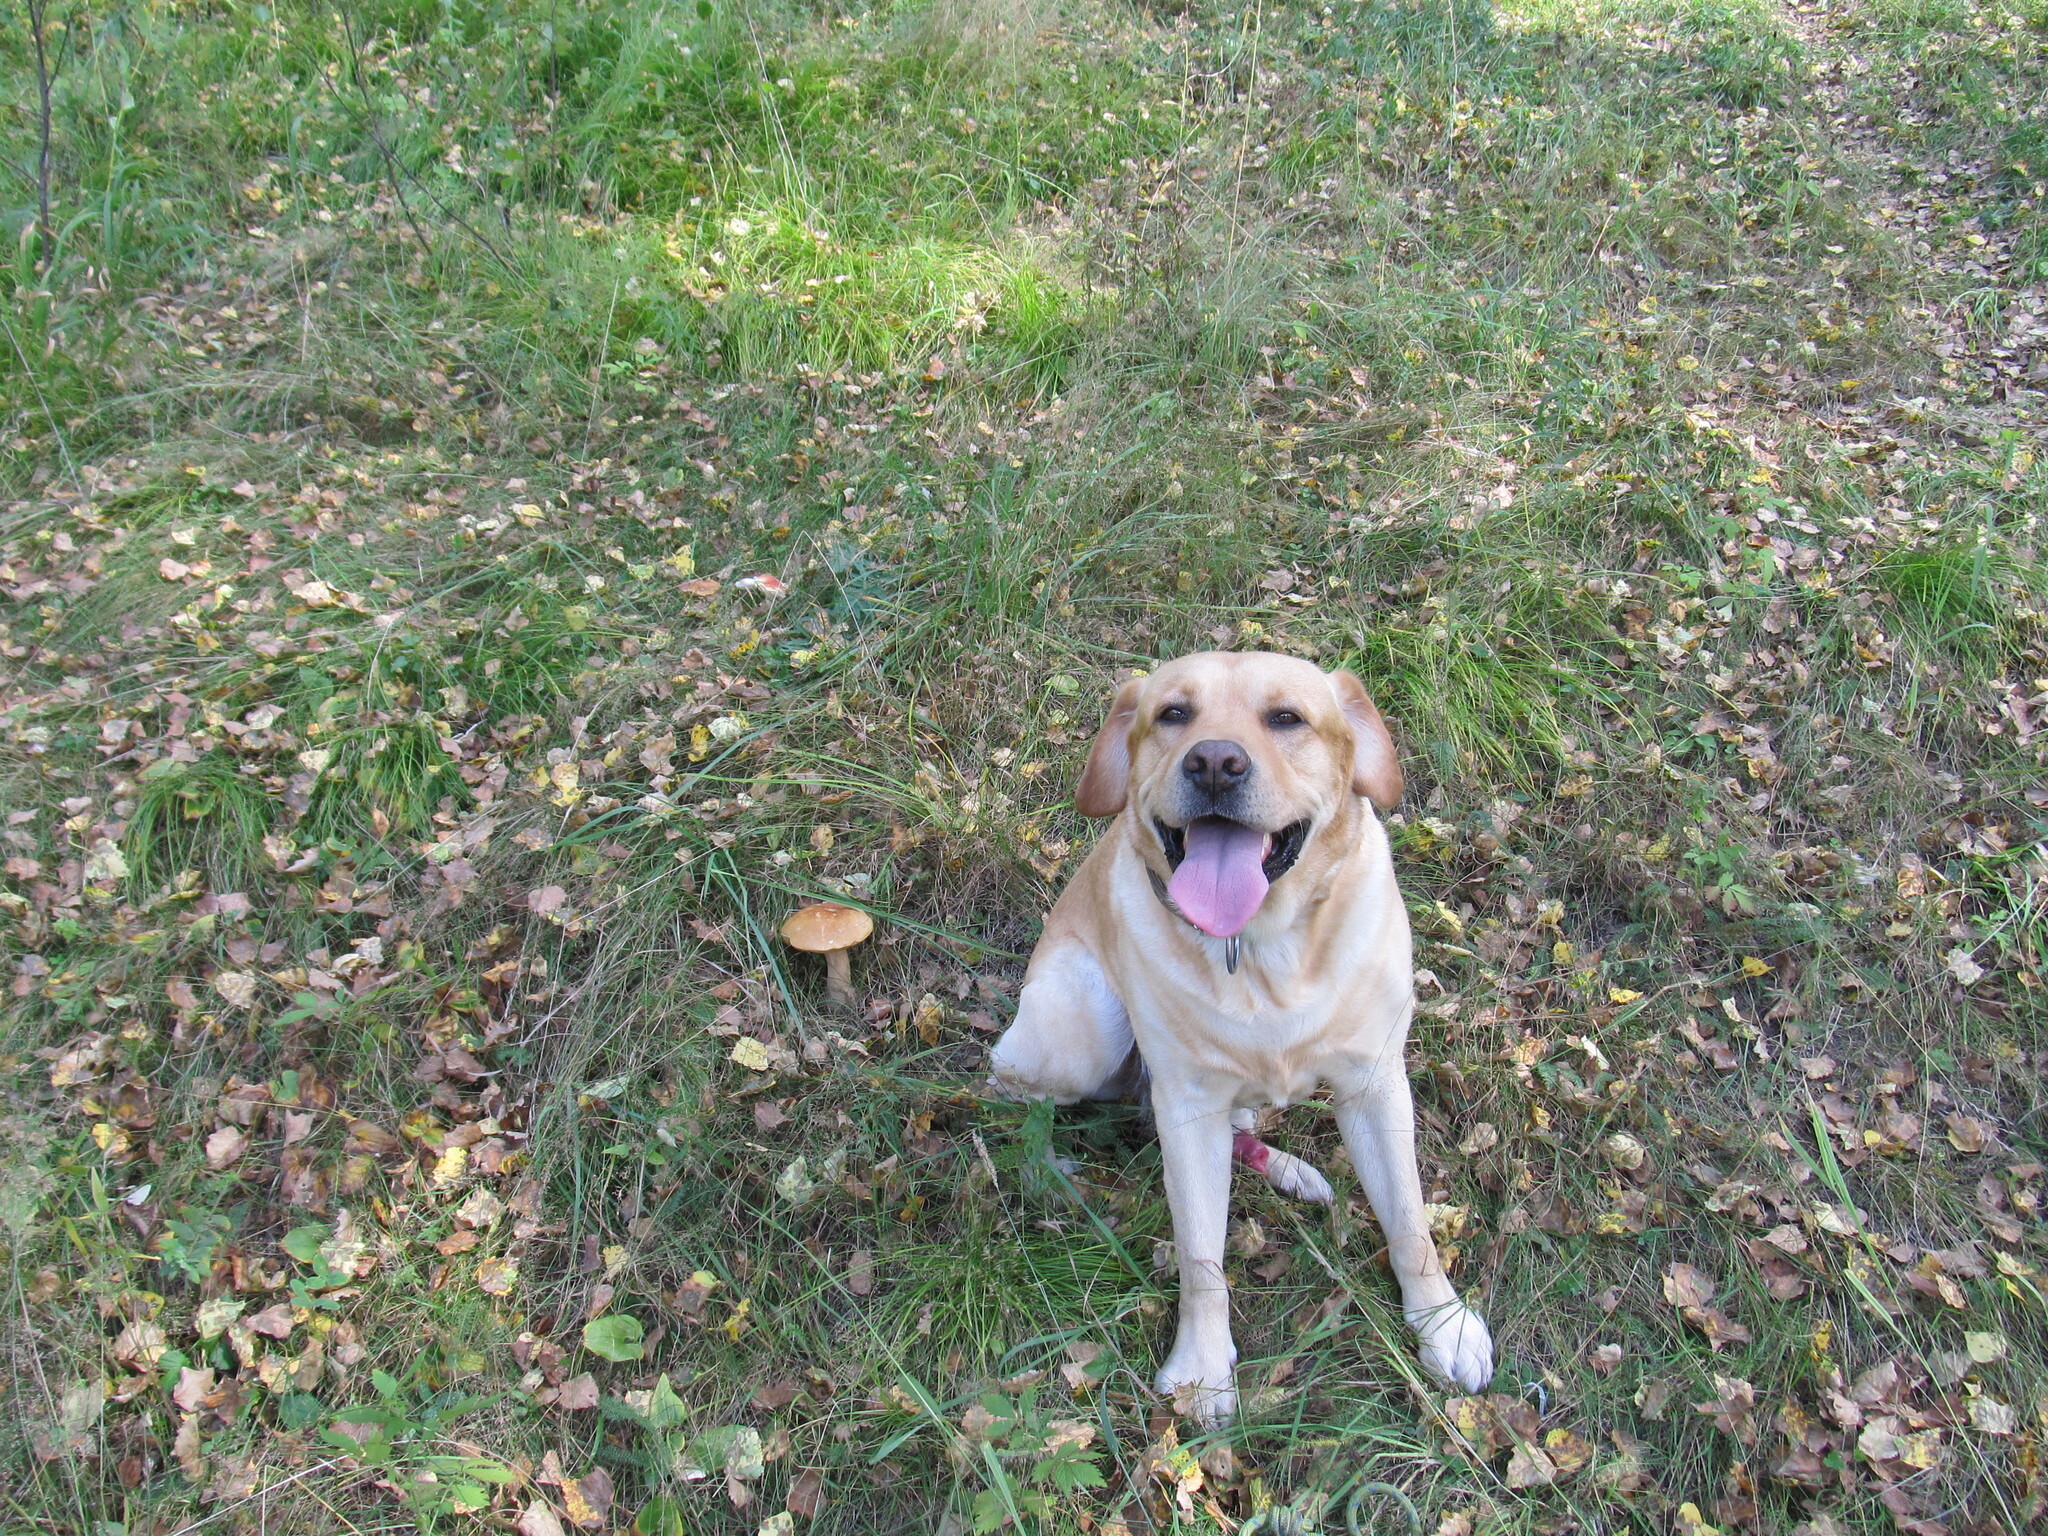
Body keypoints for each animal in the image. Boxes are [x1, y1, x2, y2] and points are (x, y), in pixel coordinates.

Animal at [987, 651, 1490, 1433]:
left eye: (1286, 718)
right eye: (1173, 714)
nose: (1215, 764)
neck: (1261, 948)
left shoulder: (1375, 1084)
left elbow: (1410, 1220)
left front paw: (1441, 1323)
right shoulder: (1189, 1107)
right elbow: (1201, 1256)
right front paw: (1201, 1364)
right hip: (1081, 1030)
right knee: (1011, 1085)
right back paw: (1050, 1169)